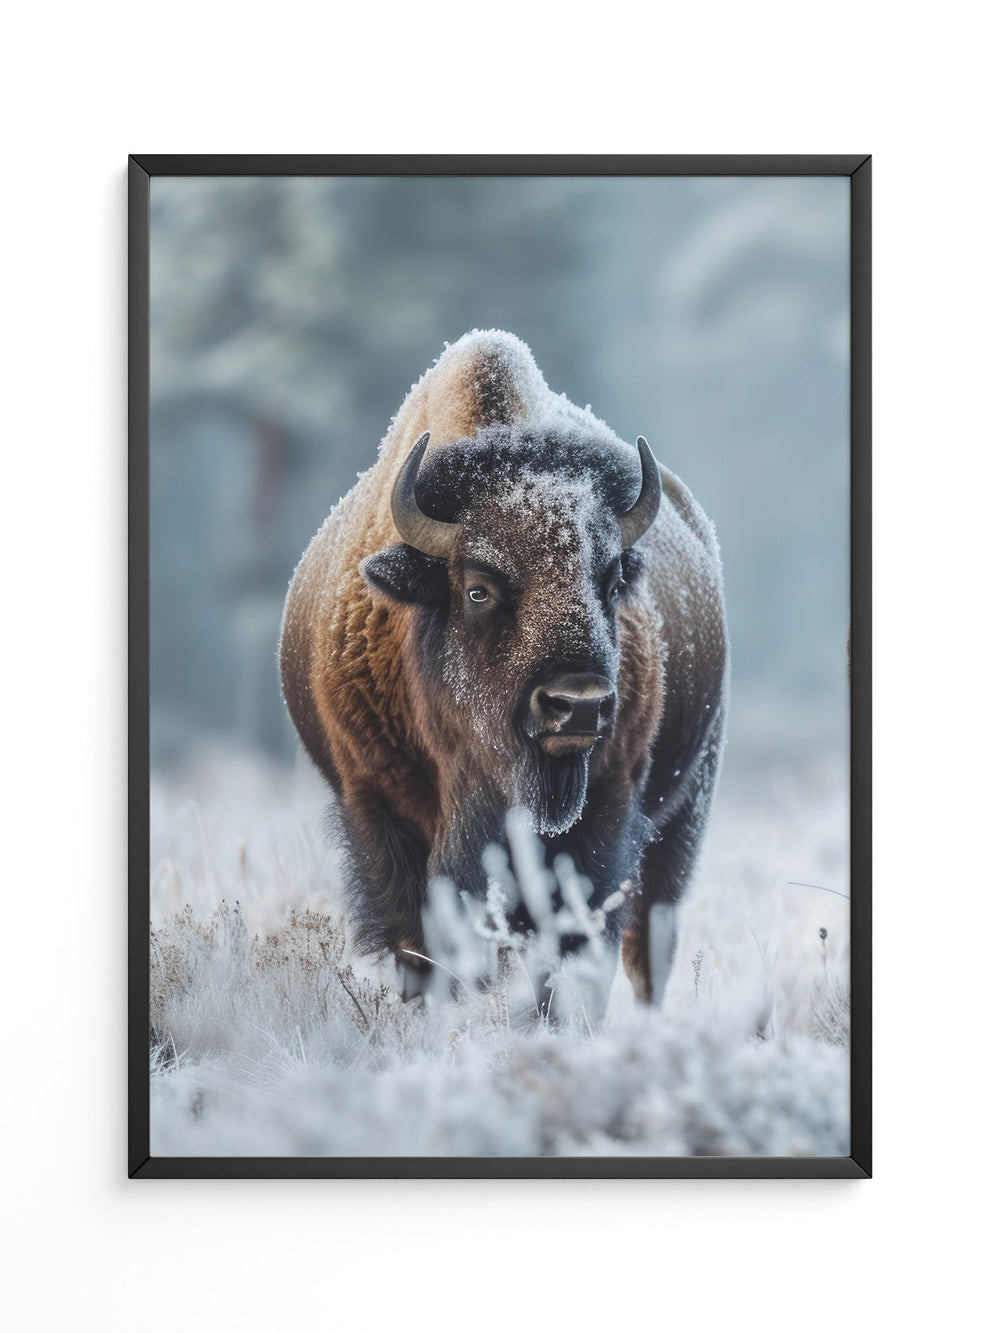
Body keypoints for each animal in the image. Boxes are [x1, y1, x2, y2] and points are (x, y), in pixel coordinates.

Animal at [279, 330, 728, 1005]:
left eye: (611, 582)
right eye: (478, 589)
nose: (579, 704)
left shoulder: (605, 813)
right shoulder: (381, 812)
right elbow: (421, 946)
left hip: (684, 811)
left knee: (647, 946)